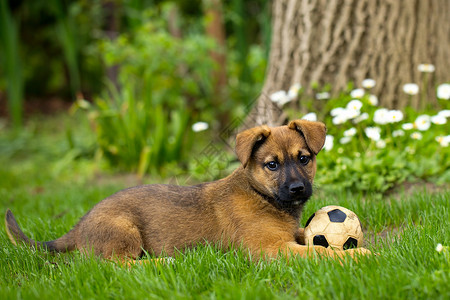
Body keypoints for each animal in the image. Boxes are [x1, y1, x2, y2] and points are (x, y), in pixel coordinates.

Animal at [4, 120, 370, 262]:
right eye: (271, 165)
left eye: (304, 158)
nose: (297, 188)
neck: (261, 195)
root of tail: (79, 227)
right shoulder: (270, 250)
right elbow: (322, 251)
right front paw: (359, 255)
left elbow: (316, 244)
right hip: (124, 230)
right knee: (117, 266)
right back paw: (162, 263)